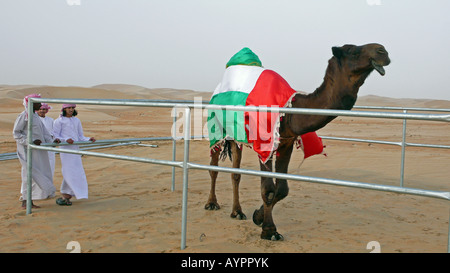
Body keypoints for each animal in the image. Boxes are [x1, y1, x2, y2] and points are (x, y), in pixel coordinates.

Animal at [205, 43, 390, 240]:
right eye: (353, 51)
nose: (383, 51)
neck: (290, 112)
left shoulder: (286, 143)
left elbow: (282, 189)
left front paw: (258, 216)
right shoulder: (265, 144)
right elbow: (268, 189)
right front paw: (269, 231)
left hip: (236, 135)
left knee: (236, 172)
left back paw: (237, 212)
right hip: (216, 126)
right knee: (214, 167)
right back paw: (212, 203)